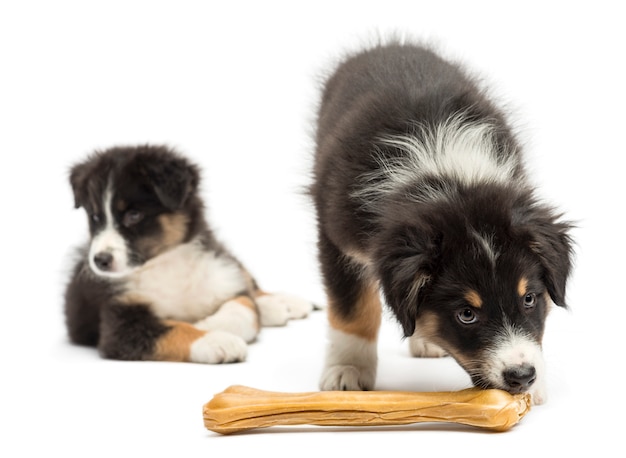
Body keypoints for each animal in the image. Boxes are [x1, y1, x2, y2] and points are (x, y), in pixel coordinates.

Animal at [64, 145, 310, 364]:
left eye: (134, 215)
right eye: (95, 217)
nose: (100, 261)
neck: (166, 262)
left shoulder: (223, 277)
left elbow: (244, 308)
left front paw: (208, 325)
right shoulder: (119, 323)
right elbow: (174, 329)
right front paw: (216, 340)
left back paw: (284, 302)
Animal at [310, 41, 572, 402]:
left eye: (529, 298)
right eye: (466, 314)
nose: (522, 376)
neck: (447, 180)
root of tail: (391, 44)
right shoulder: (337, 238)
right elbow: (353, 311)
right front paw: (347, 369)